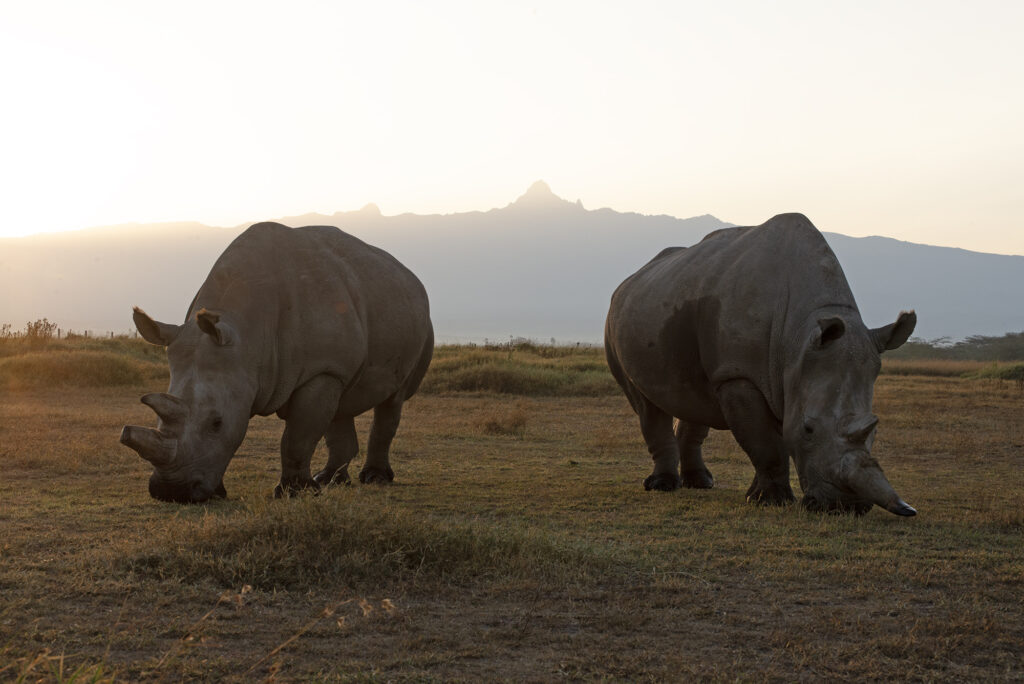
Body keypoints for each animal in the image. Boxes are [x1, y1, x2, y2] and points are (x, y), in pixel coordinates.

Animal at [120, 222, 433, 503]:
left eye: (216, 423)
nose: (172, 493)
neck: (248, 336)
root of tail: (411, 277)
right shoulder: (255, 371)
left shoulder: (320, 370)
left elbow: (298, 436)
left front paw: (294, 493)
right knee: (341, 404)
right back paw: (330, 480)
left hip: (418, 322)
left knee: (392, 401)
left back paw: (374, 478)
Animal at [604, 213, 917, 516]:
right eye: (808, 429)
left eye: (875, 429)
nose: (846, 508)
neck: (799, 335)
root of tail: (628, 282)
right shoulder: (739, 375)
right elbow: (765, 443)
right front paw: (771, 501)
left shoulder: (786, 373)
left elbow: (772, 438)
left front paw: (756, 496)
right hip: (615, 322)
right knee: (647, 405)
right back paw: (662, 486)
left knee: (693, 399)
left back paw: (701, 483)